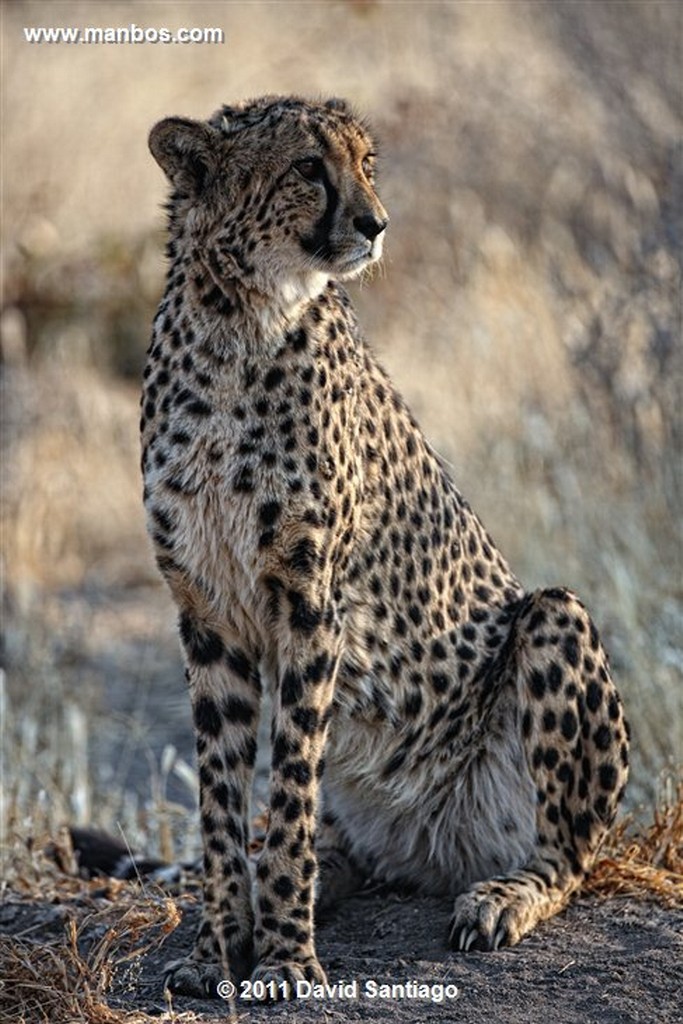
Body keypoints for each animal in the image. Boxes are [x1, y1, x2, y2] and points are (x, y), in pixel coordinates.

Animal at [143, 97, 630, 999]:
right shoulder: (206, 610)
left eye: (367, 164)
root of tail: (431, 849)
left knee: (569, 855)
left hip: (554, 622)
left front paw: (287, 961)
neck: (236, 320)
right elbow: (225, 804)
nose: (376, 223)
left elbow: (287, 792)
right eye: (307, 167)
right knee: (335, 840)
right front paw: (217, 950)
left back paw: (499, 898)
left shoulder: (309, 602)